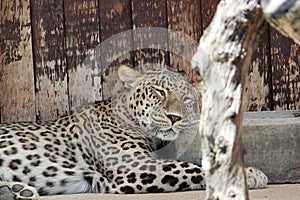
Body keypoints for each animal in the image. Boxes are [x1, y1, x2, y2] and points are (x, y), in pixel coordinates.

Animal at [0, 65, 268, 199]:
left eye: (187, 99)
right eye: (159, 91)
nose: (174, 117)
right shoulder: (133, 166)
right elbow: (190, 167)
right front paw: (251, 174)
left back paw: (17, 191)